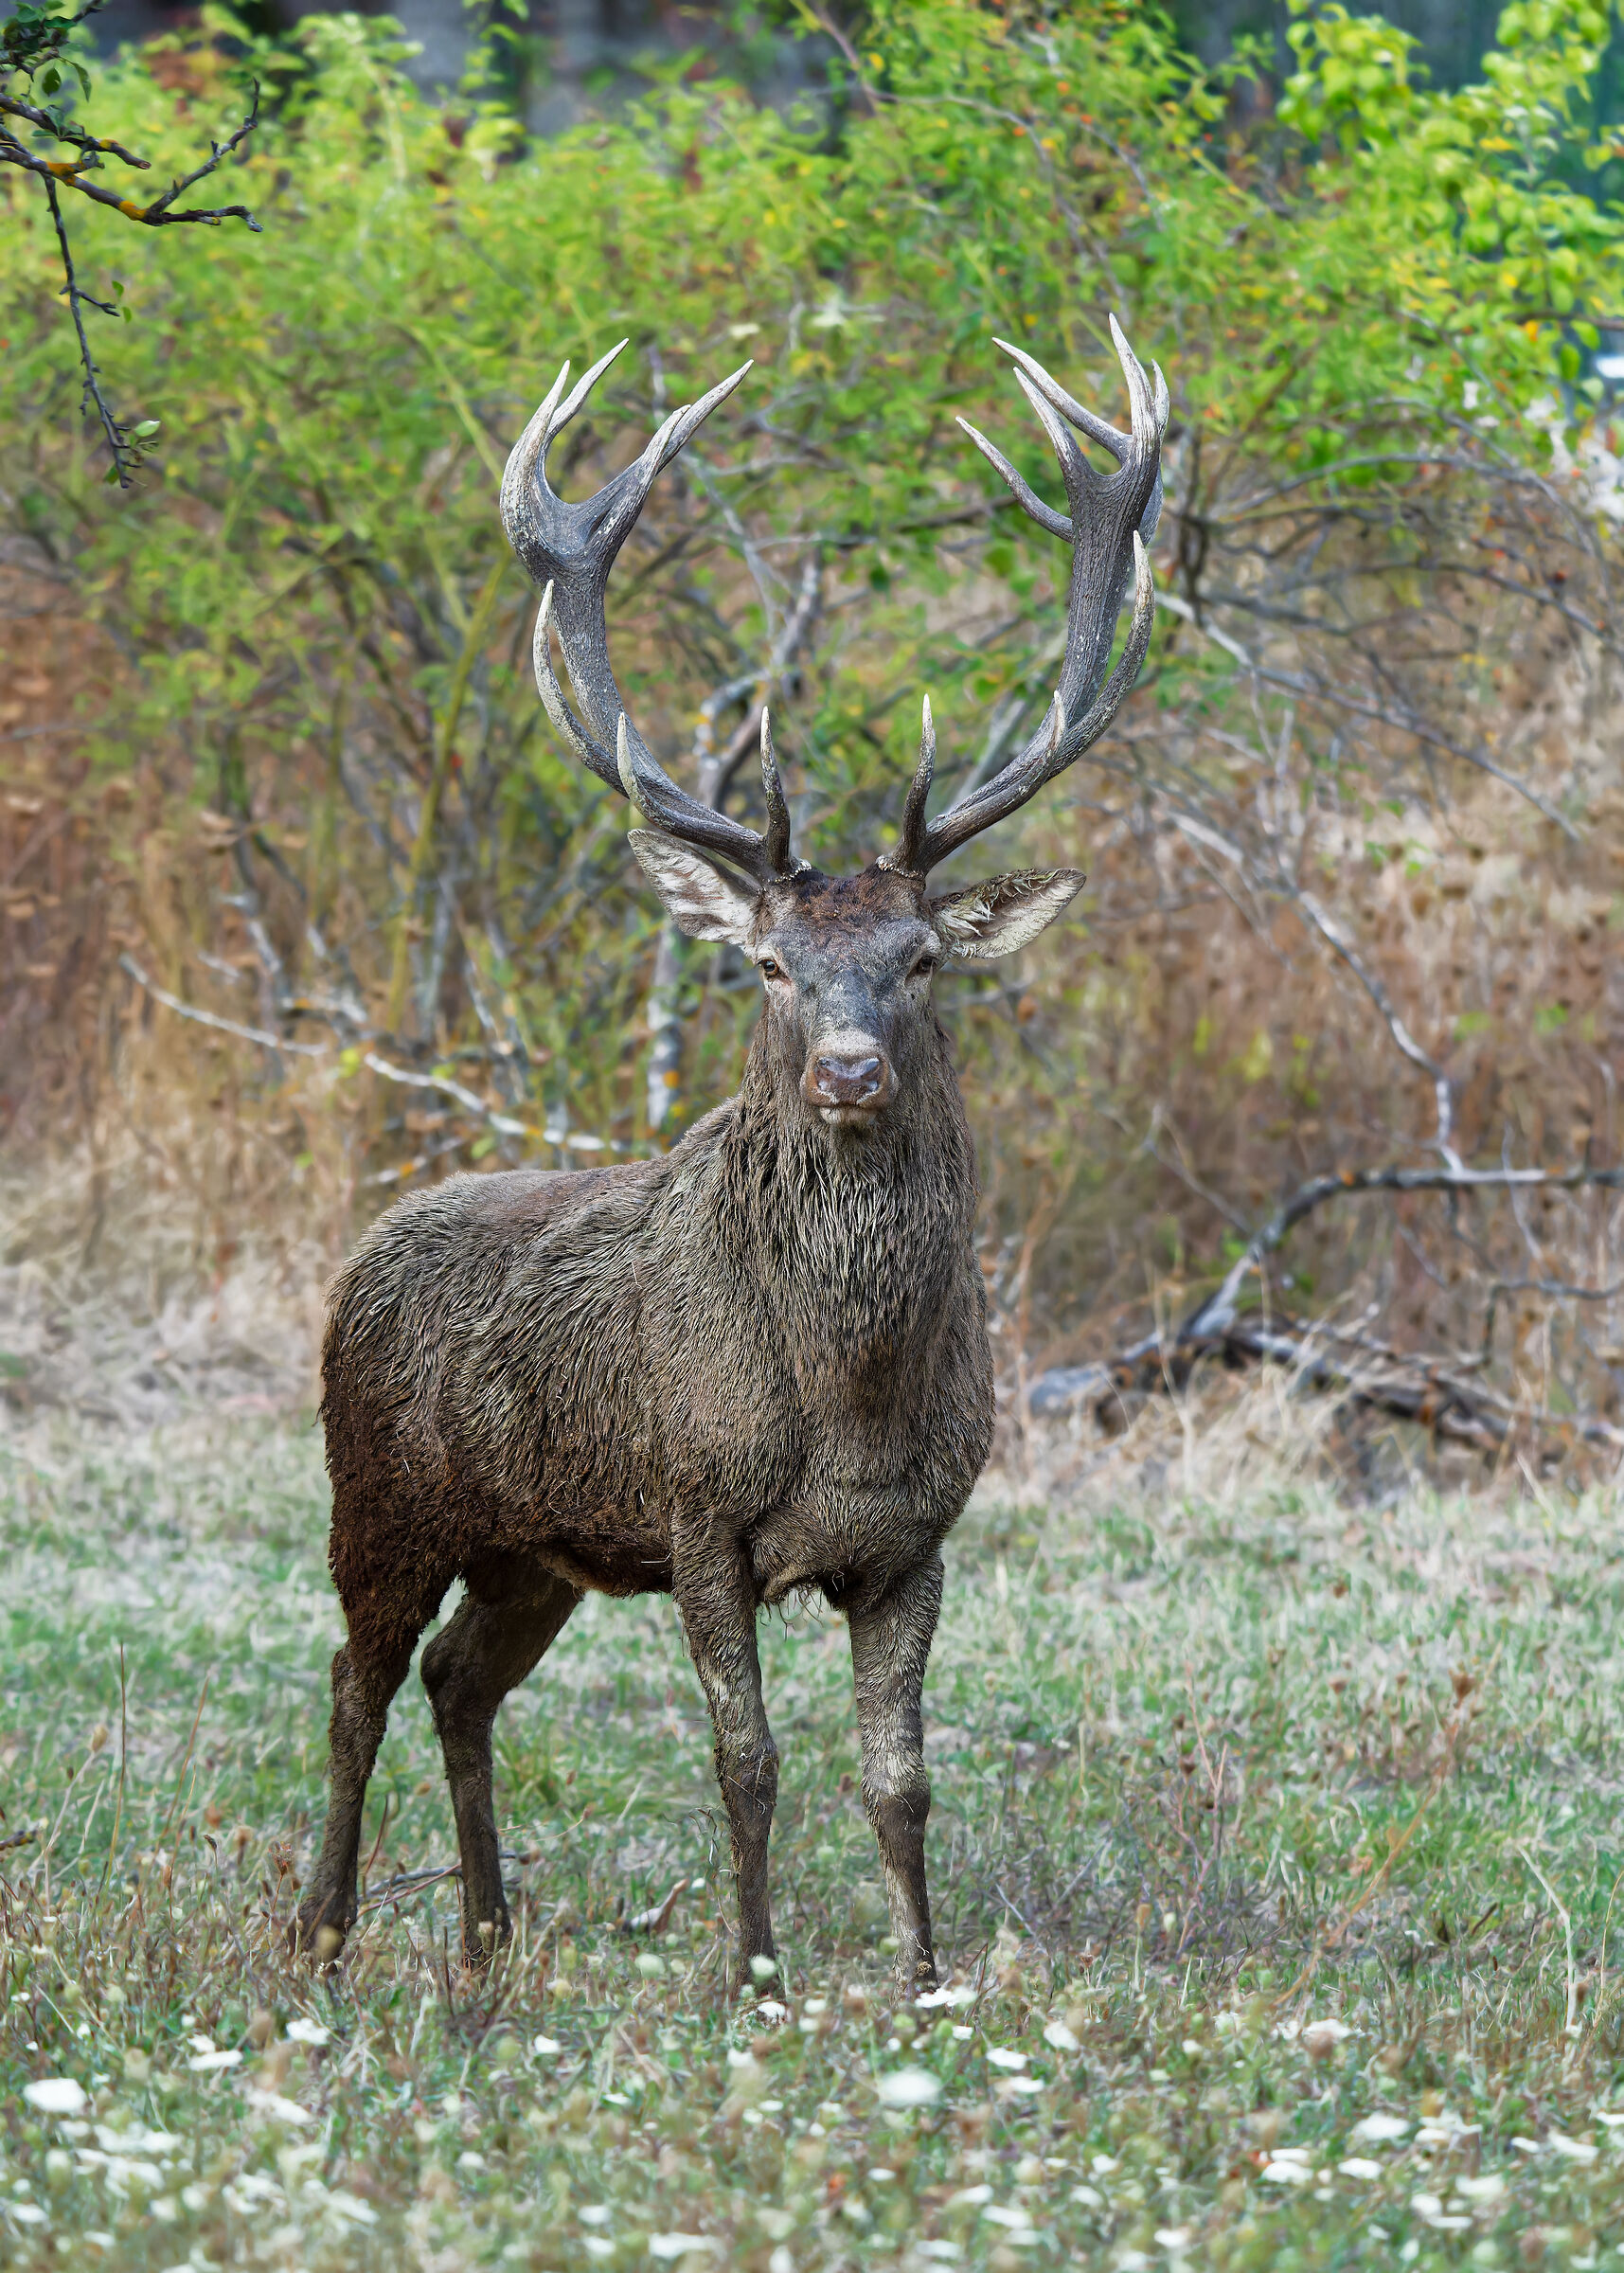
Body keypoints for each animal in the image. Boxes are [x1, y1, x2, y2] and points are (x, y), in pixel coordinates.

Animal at [295, 321, 1166, 1997]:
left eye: (917, 959)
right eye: (766, 962)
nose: (846, 1068)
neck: (848, 1402)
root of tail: (361, 1251)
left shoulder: (916, 1538)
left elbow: (899, 1777)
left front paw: (923, 1979)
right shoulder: (697, 1511)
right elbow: (744, 1762)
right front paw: (756, 1980)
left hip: (534, 1550)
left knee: (457, 1680)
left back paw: (488, 1935)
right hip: (379, 1498)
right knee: (353, 1680)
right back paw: (319, 1930)